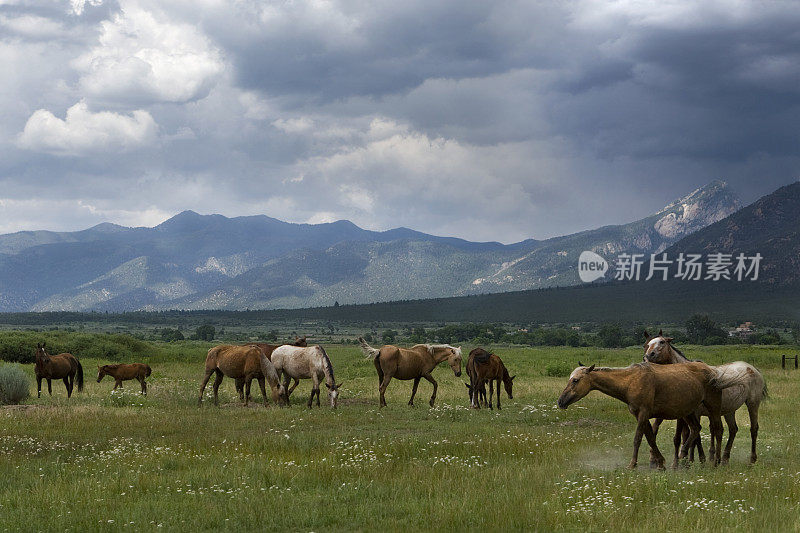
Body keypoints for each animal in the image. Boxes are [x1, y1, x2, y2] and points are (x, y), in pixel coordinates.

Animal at [556, 360, 752, 468]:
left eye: (575, 380)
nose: (561, 401)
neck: (630, 381)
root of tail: (713, 372)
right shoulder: (640, 415)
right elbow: (650, 438)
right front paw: (661, 463)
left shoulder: (643, 413)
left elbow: (638, 438)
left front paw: (632, 464)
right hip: (688, 411)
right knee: (696, 429)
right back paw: (682, 456)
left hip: (713, 408)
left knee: (718, 430)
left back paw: (716, 461)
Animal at [640, 330, 764, 464]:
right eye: (646, 345)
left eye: (662, 342)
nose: (648, 356)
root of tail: (752, 368)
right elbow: (689, 436)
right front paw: (691, 460)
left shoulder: (695, 413)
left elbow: (694, 436)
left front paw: (696, 459)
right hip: (729, 410)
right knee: (733, 429)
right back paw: (724, 459)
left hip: (752, 404)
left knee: (753, 429)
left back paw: (752, 459)